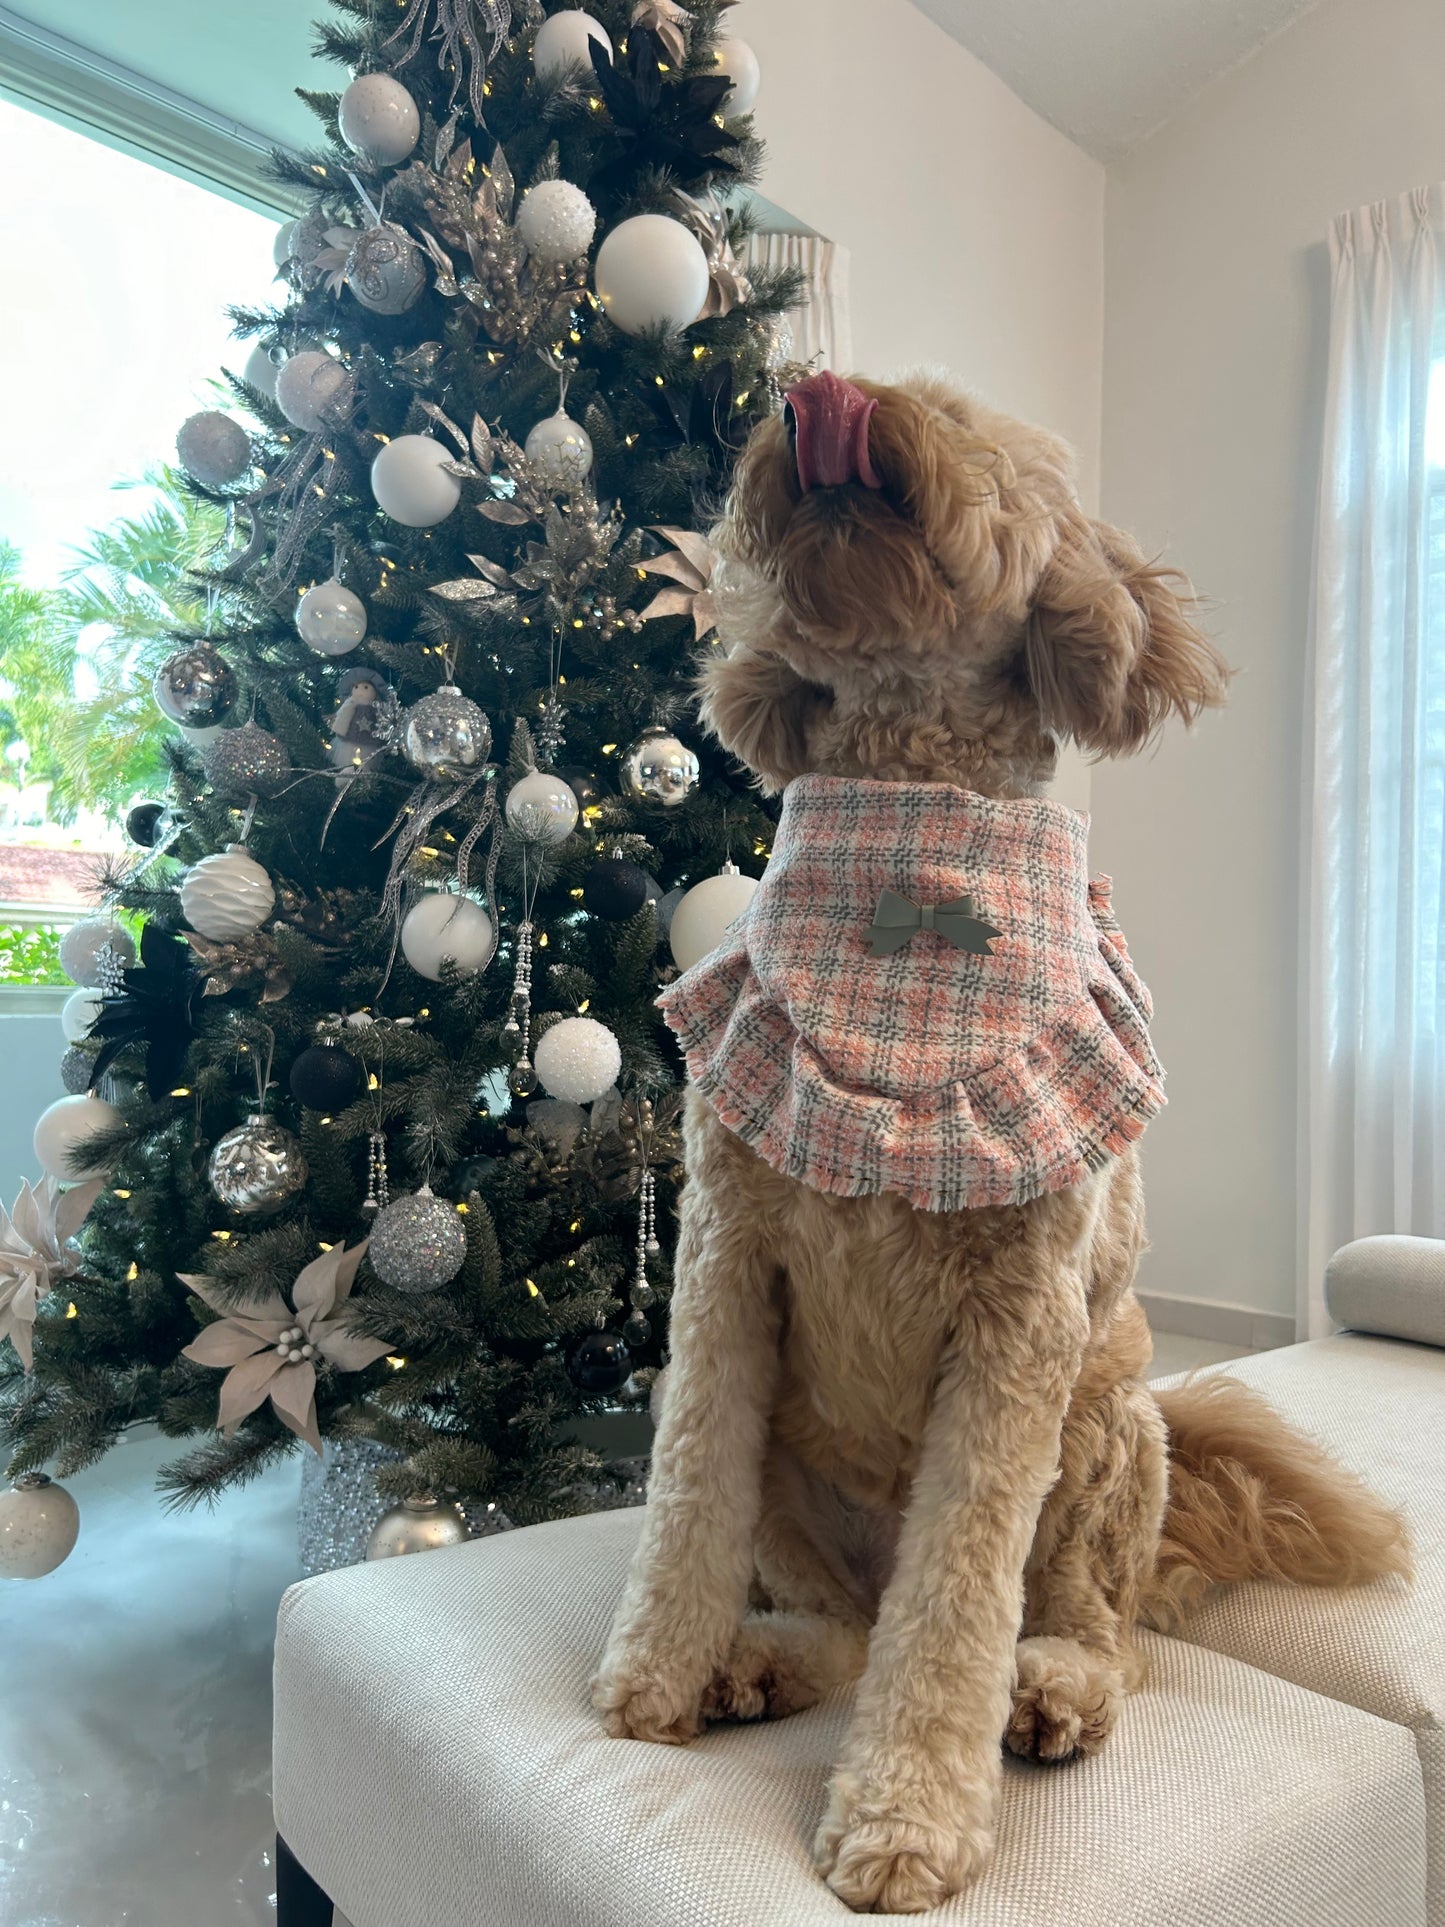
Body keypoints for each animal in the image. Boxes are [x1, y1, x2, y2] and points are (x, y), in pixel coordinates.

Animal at [589, 371, 1418, 1911]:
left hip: (1105, 1433)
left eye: (964, 418)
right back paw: (757, 1661)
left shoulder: (1016, 1327)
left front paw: (906, 1819)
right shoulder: (725, 1268)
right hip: (807, 1471)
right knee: (846, 1617)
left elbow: (955, 1599)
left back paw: (1050, 1694)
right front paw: (650, 1678)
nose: (819, 394)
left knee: (1089, 1627)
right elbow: (685, 1492)